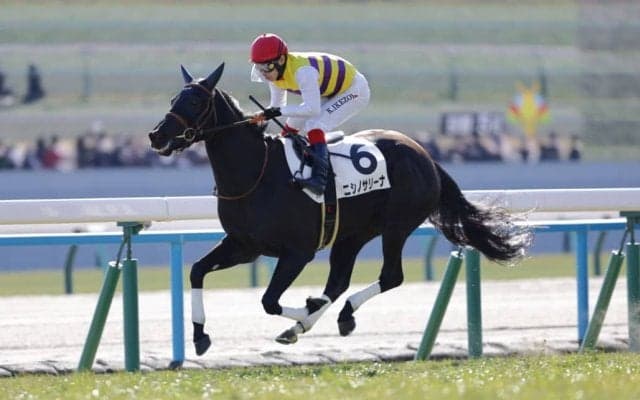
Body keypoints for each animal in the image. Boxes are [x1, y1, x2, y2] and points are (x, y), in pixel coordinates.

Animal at [148, 63, 532, 356]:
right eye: (173, 98)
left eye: (195, 100)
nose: (156, 135)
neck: (256, 173)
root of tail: (424, 154)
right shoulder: (244, 246)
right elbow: (197, 271)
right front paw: (200, 336)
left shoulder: (297, 252)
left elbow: (269, 301)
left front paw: (304, 309)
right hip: (352, 234)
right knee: (338, 282)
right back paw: (317, 320)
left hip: (396, 226)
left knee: (390, 276)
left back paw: (330, 314)